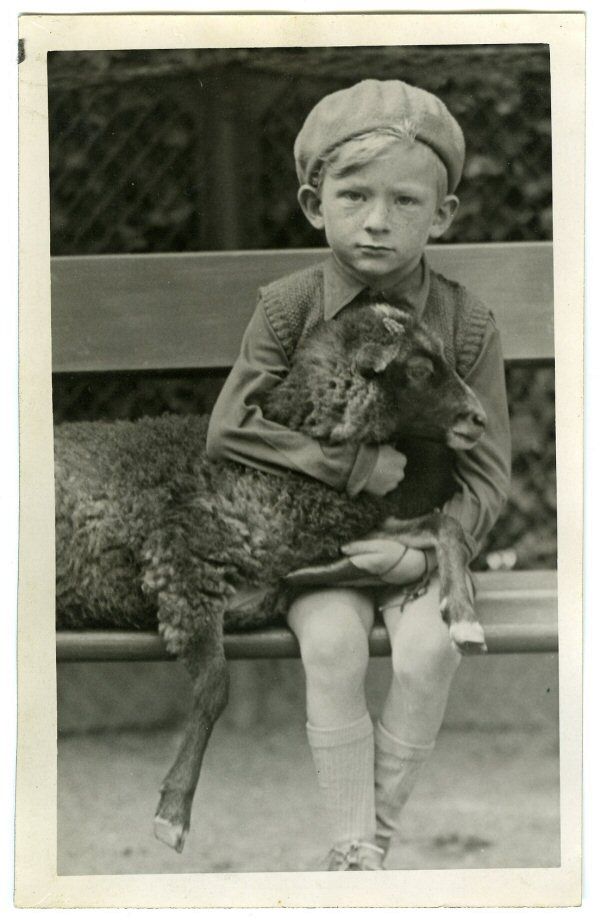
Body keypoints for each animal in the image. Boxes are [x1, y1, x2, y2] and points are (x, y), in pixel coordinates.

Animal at [55, 298, 488, 852]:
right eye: (417, 369)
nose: (478, 418)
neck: (288, 475)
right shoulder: (182, 563)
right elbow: (215, 686)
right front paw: (173, 811)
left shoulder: (353, 526)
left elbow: (447, 527)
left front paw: (462, 615)